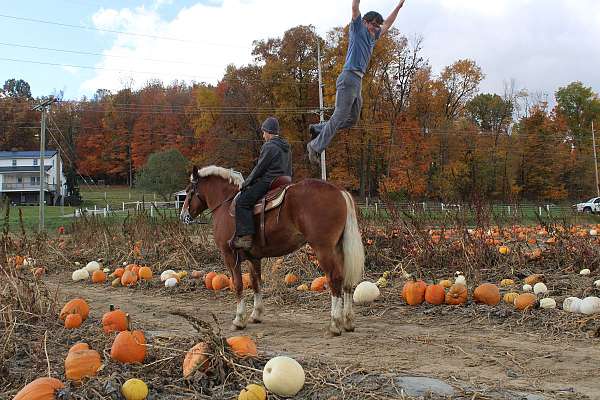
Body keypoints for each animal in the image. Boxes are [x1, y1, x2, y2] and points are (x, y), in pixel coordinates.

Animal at [178, 164, 366, 336]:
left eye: (189, 191)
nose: (183, 216)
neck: (226, 203)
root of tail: (339, 191)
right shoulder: (253, 258)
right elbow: (256, 282)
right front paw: (256, 314)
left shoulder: (229, 256)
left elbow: (238, 285)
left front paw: (239, 319)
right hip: (339, 249)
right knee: (346, 280)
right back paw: (348, 321)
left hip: (324, 250)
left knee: (334, 278)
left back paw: (335, 323)